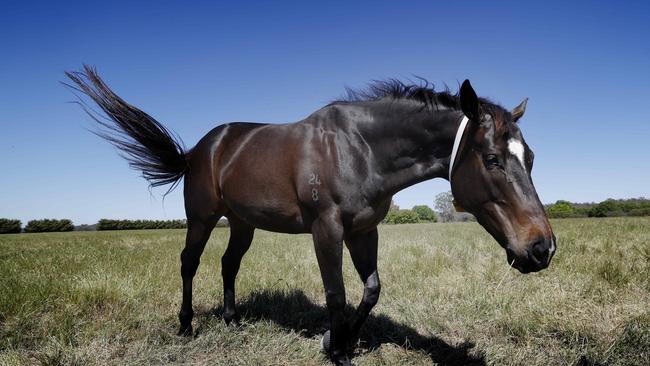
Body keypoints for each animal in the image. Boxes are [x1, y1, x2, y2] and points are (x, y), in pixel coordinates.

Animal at [66, 66, 556, 366]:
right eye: (492, 159)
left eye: (530, 157)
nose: (542, 248)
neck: (360, 148)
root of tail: (201, 148)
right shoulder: (327, 228)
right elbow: (336, 293)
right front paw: (336, 350)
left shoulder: (364, 230)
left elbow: (372, 290)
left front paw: (344, 340)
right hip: (202, 217)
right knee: (190, 262)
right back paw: (187, 326)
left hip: (242, 222)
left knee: (229, 264)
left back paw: (231, 319)